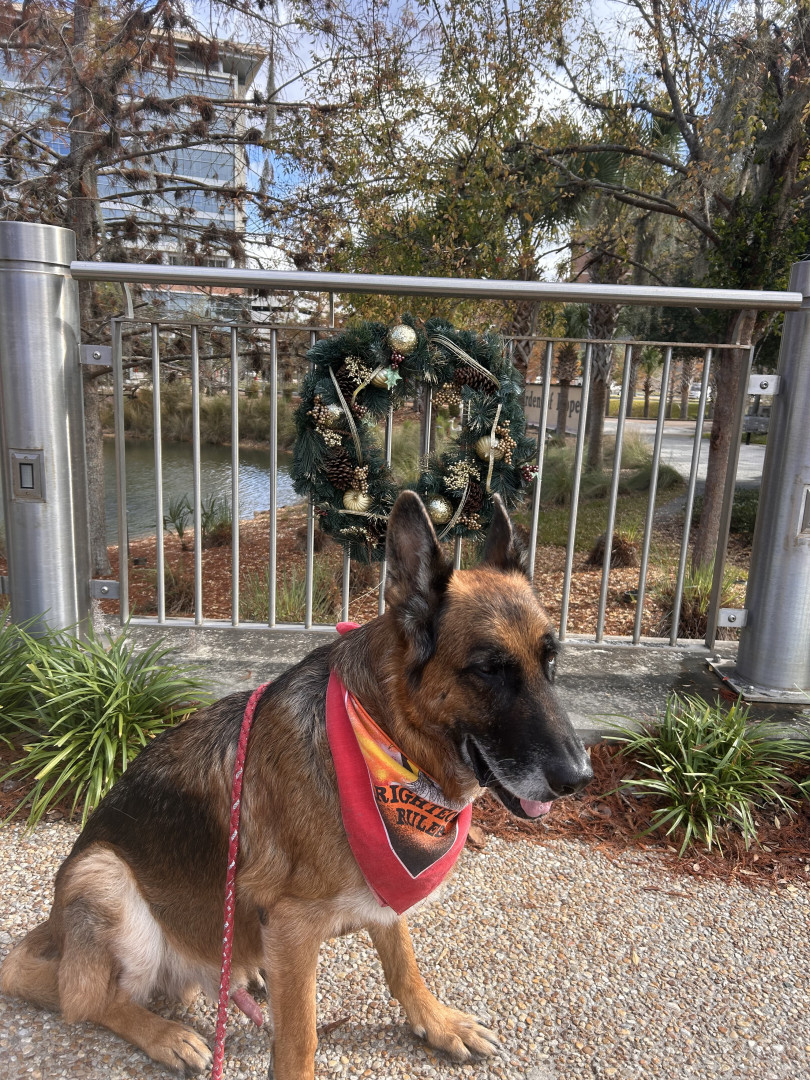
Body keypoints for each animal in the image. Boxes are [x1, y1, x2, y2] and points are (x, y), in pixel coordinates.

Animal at [0, 491, 593, 1080]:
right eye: (488, 669)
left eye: (550, 658)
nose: (579, 778)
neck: (382, 734)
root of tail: (55, 931)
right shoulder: (294, 926)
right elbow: (299, 1040)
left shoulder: (382, 884)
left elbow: (403, 960)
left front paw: (436, 1021)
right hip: (104, 876)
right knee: (89, 1000)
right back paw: (166, 1035)